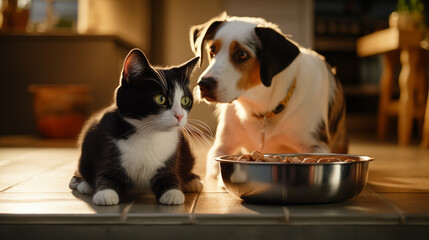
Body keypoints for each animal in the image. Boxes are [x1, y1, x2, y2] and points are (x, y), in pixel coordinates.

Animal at [69, 48, 203, 206]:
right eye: (160, 99)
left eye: (185, 100)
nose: (179, 116)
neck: (148, 135)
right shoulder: (105, 144)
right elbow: (106, 170)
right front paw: (105, 192)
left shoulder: (173, 153)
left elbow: (169, 174)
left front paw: (172, 191)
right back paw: (84, 184)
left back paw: (192, 181)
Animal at [191, 12, 348, 178]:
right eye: (212, 50)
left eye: (242, 54)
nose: (204, 84)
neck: (262, 108)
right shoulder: (221, 147)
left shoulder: (316, 146)